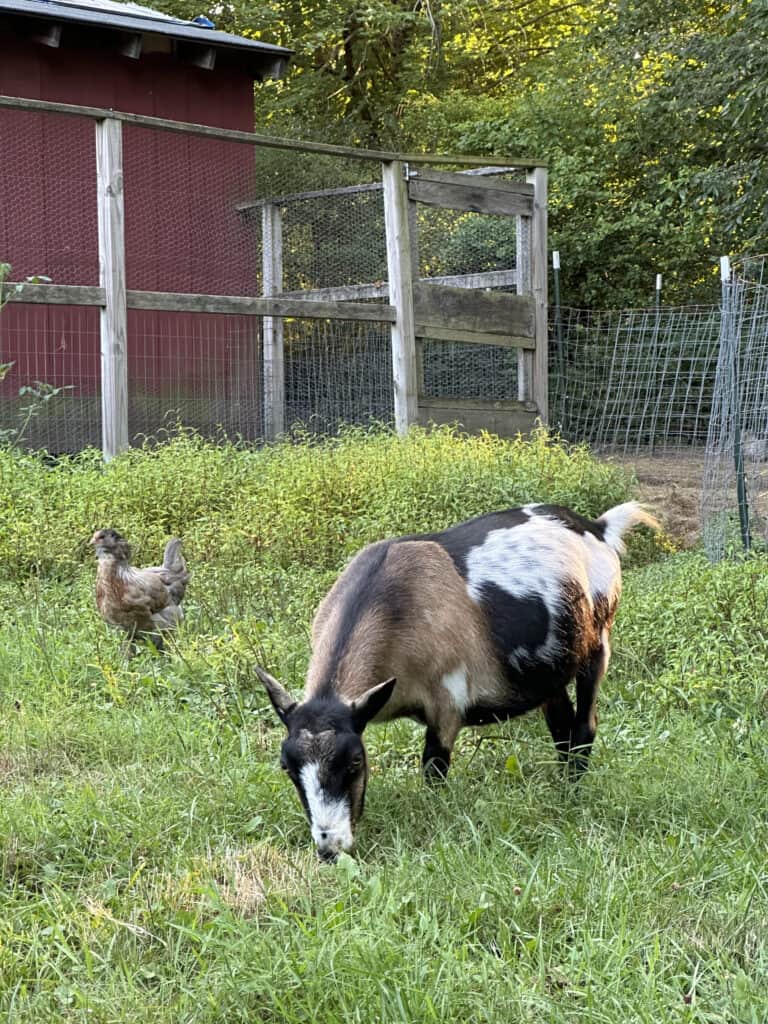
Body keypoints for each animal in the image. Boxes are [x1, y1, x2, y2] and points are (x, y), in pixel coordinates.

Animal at [256, 501, 658, 862]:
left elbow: (434, 770)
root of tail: (596, 527)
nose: (330, 848)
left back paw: (573, 792)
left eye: (355, 761)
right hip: (550, 671)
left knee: (585, 725)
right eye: (287, 767)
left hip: (598, 643)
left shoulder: (447, 704)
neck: (397, 603)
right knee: (561, 725)